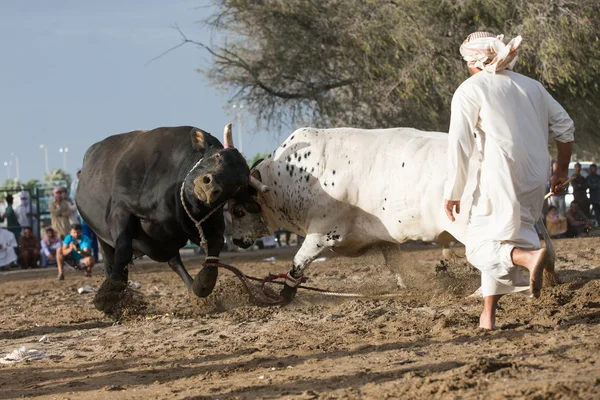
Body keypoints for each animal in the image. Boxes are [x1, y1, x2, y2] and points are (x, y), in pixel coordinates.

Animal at [76, 125, 250, 312]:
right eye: (218, 156)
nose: (210, 186)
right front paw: (108, 293)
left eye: (238, 185)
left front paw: (203, 284)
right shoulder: (121, 211)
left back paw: (192, 290)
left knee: (174, 262)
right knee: (110, 261)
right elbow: (123, 250)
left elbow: (215, 247)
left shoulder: (205, 224)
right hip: (102, 237)